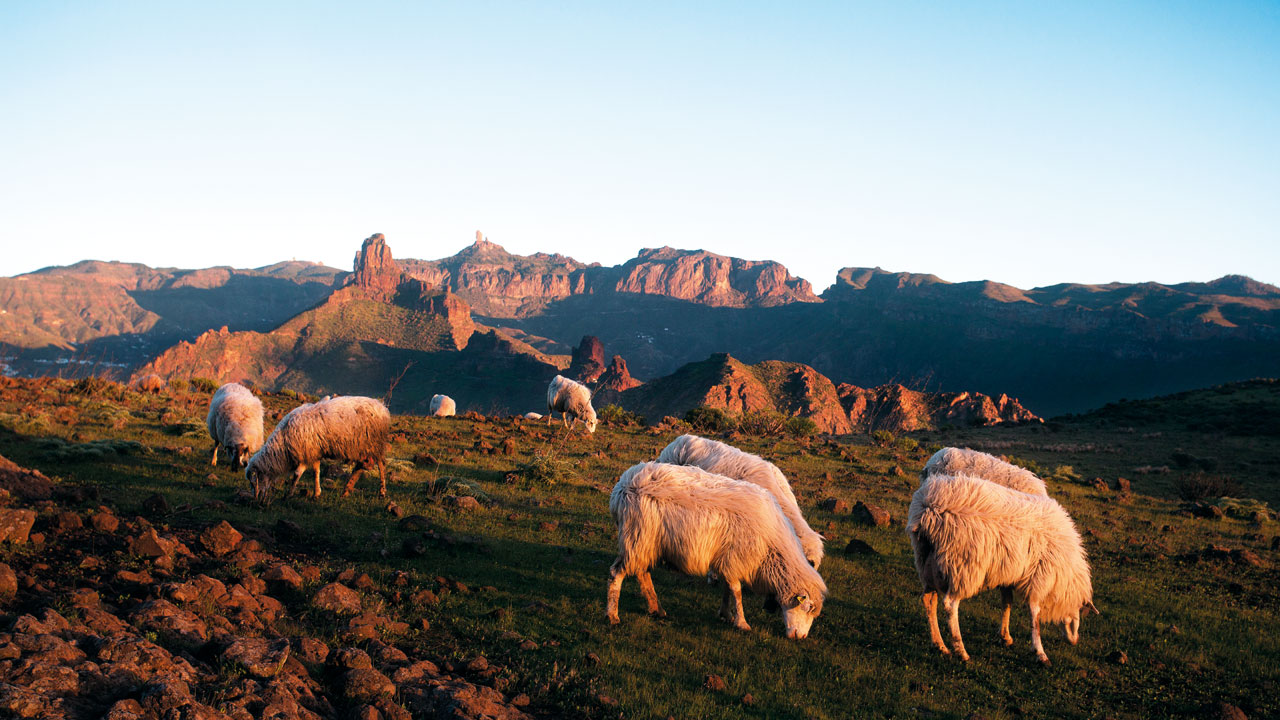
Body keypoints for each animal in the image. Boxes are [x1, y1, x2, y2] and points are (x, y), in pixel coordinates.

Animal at [245, 392, 389, 499]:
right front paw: (316, 493)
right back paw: (346, 490)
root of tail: (382, 407)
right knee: (361, 466)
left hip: (375, 443)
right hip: (362, 446)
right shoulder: (314, 452)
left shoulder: (306, 454)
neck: (282, 443)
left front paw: (289, 494)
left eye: (254, 481)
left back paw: (382, 492)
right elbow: (316, 471)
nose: (256, 497)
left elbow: (297, 474)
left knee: (381, 465)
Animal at [604, 458, 824, 632]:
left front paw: (726, 614)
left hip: (646, 543)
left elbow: (728, 588)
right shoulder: (737, 557)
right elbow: (737, 591)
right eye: (806, 608)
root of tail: (621, 486)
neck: (773, 546)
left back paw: (656, 609)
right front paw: (742, 623)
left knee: (642, 572)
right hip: (636, 537)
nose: (799, 637)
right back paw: (613, 616)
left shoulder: (728, 559)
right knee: (616, 573)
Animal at [906, 471, 1095, 661]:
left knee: (929, 600)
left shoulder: (1009, 573)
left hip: (928, 564)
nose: (1075, 640)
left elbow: (1007, 602)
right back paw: (961, 650)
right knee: (950, 605)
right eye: (1080, 610)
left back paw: (940, 645)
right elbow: (1034, 614)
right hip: (962, 566)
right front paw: (1039, 652)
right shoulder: (1039, 578)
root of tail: (929, 508)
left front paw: (1005, 636)